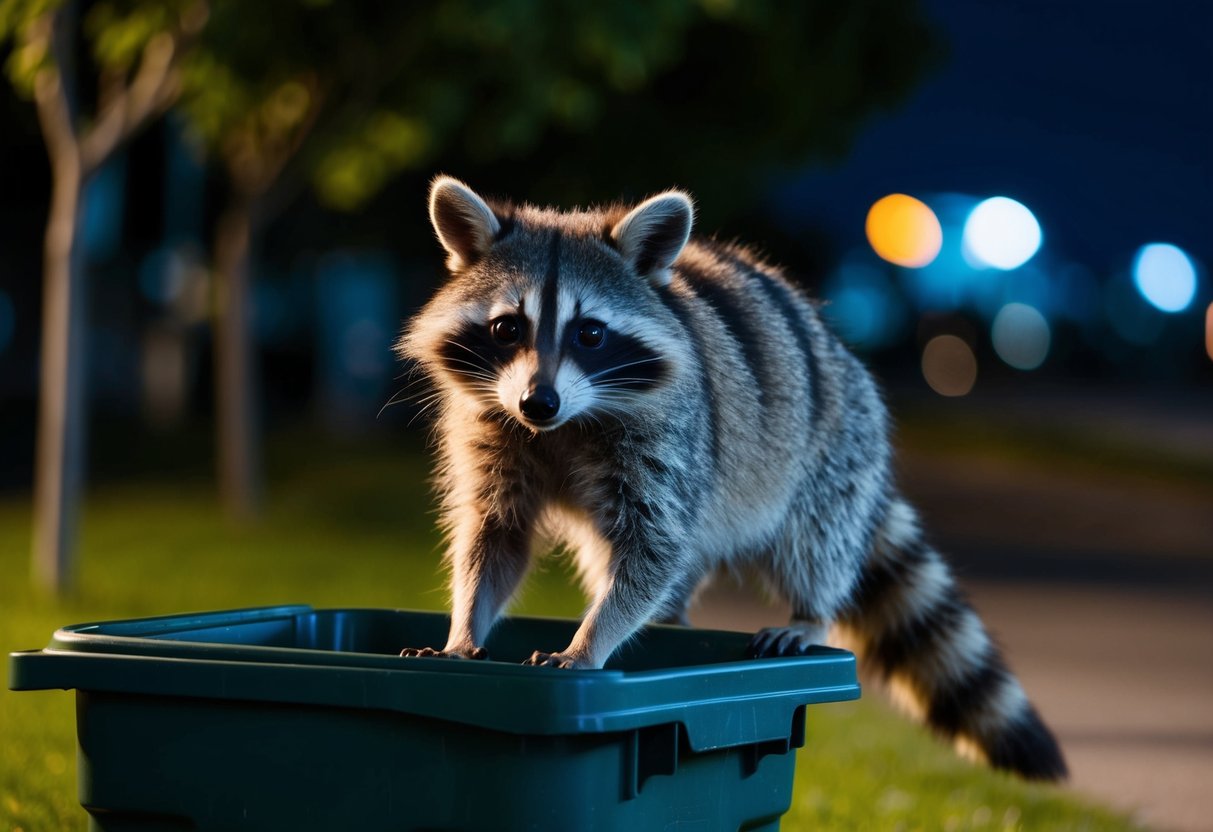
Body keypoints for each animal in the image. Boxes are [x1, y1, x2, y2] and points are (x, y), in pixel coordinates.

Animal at [397, 176, 1067, 781]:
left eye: (590, 333)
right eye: (507, 327)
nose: (539, 403)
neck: (563, 424)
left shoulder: (671, 437)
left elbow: (655, 549)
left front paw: (590, 641)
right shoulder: (492, 425)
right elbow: (496, 533)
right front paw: (465, 627)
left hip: (836, 446)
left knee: (814, 539)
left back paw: (809, 613)